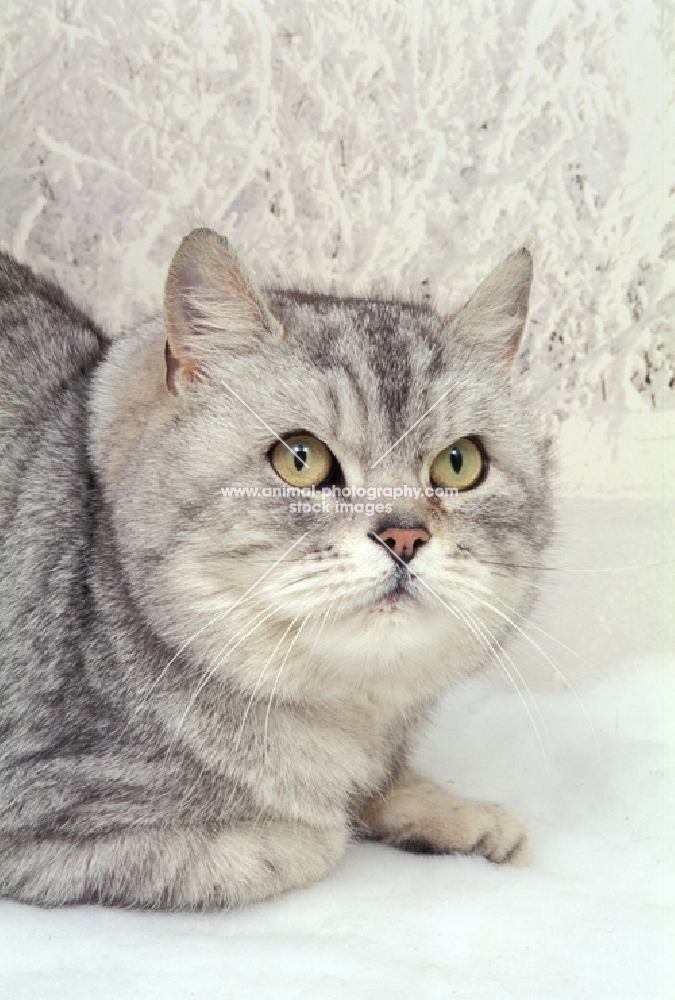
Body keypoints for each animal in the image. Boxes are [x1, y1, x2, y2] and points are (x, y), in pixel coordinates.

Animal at [0, 230, 548, 912]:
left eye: (459, 462)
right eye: (300, 459)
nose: (404, 534)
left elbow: (384, 782)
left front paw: (451, 814)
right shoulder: (44, 814)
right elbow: (306, 842)